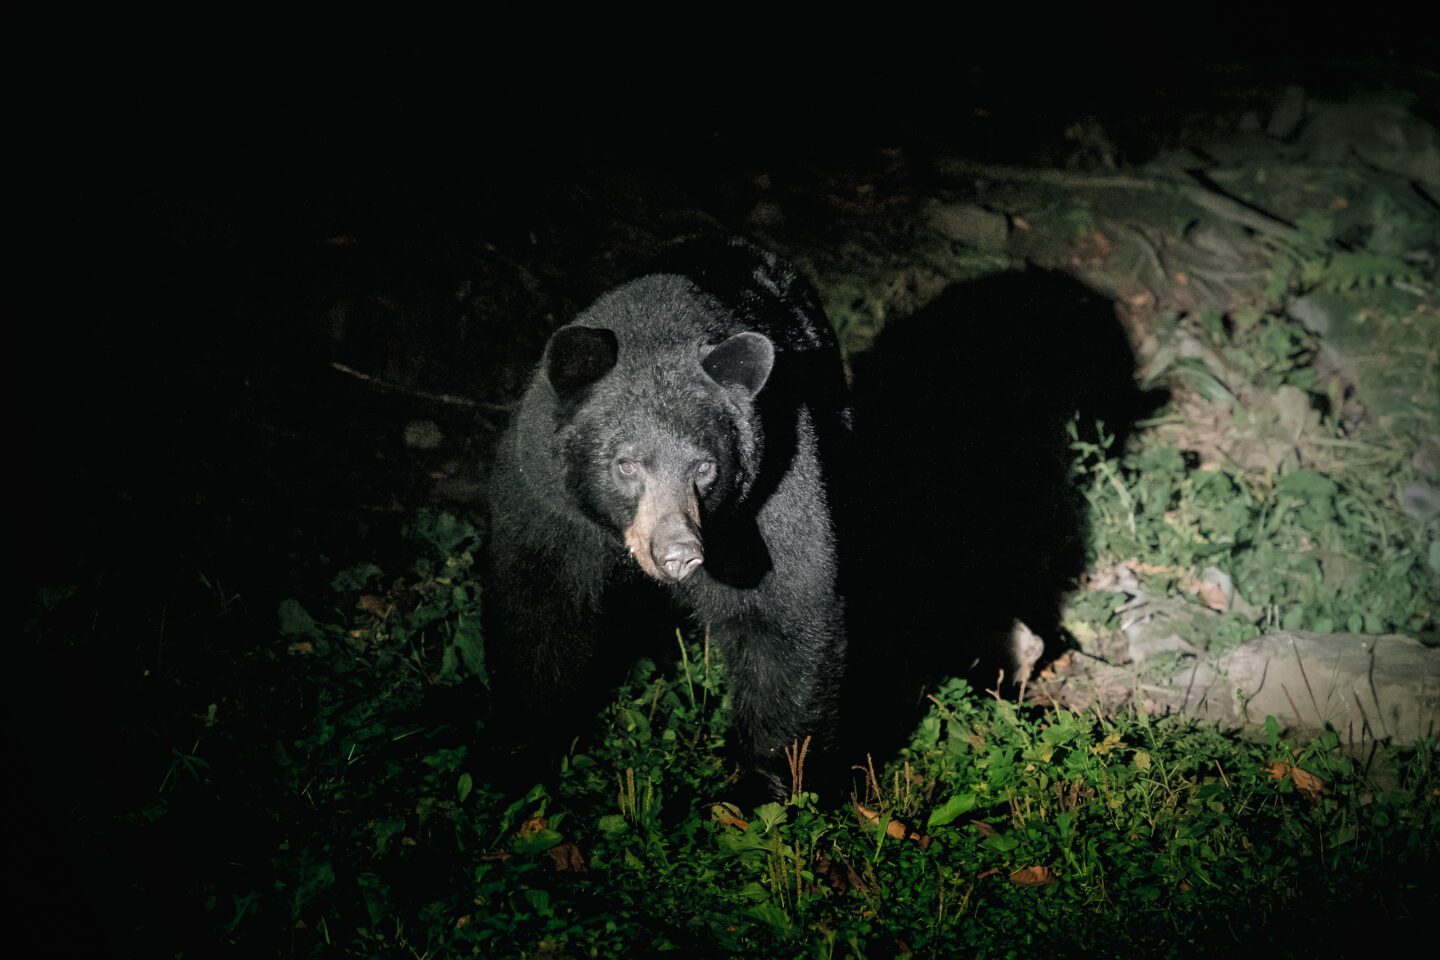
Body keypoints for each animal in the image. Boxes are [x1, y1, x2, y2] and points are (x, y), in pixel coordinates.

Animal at [483, 236, 846, 800]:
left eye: (705, 467)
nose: (678, 553)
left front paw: (766, 784)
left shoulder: (770, 497)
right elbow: (539, 604)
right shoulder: (545, 495)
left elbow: (784, 613)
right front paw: (520, 756)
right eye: (626, 464)